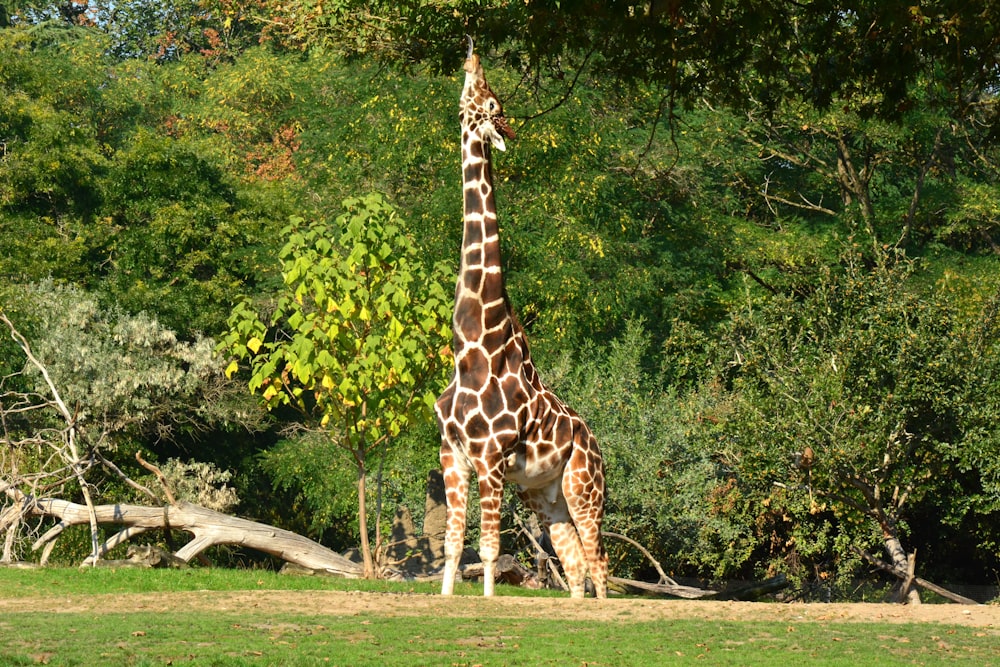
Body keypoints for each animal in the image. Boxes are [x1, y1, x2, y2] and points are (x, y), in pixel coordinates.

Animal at [432, 36, 604, 600]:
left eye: (493, 104)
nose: (471, 53)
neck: (473, 348)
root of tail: (596, 444)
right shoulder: (453, 456)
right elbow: (452, 546)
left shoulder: (490, 458)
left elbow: (487, 549)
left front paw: (486, 602)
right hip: (543, 493)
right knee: (575, 566)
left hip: (584, 486)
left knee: (600, 564)